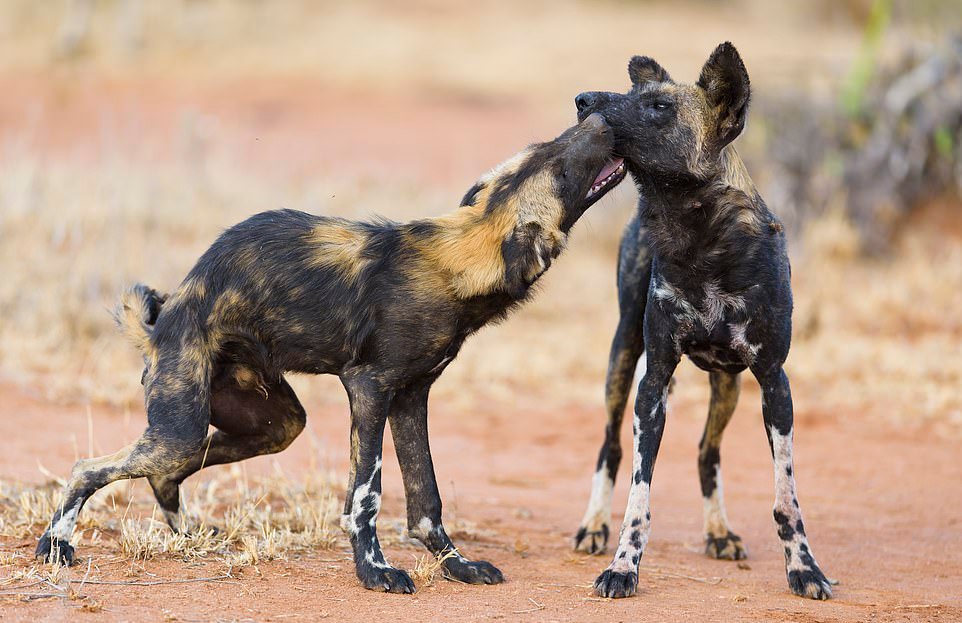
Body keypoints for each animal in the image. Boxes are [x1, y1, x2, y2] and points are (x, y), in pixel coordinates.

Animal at [35, 112, 632, 596]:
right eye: (560, 169)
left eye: (548, 146)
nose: (601, 116)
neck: (460, 258)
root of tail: (165, 320)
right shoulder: (369, 389)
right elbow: (366, 496)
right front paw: (375, 571)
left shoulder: (410, 397)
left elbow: (426, 501)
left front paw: (456, 566)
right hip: (179, 428)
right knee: (89, 467)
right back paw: (58, 544)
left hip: (271, 425)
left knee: (167, 473)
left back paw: (189, 532)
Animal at [568, 44, 832, 600]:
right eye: (635, 95)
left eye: (659, 107)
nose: (582, 100)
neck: (699, 242)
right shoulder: (653, 382)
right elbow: (639, 499)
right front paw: (623, 567)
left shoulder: (774, 383)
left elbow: (786, 499)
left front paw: (804, 568)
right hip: (623, 363)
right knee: (610, 447)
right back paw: (594, 525)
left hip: (728, 385)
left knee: (707, 454)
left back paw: (719, 531)